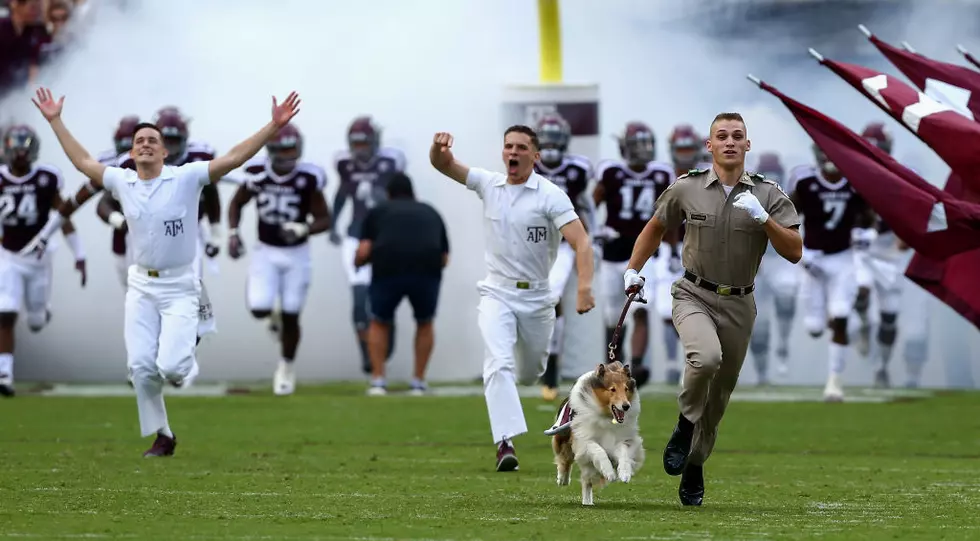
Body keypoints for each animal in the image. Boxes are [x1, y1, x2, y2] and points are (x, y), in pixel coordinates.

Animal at [548, 360, 648, 504]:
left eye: (626, 389)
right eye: (612, 389)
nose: (626, 406)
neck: (607, 417)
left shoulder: (620, 440)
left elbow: (624, 454)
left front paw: (624, 474)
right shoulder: (584, 440)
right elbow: (599, 451)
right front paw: (610, 473)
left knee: (586, 481)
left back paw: (587, 502)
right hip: (563, 437)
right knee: (564, 458)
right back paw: (563, 479)